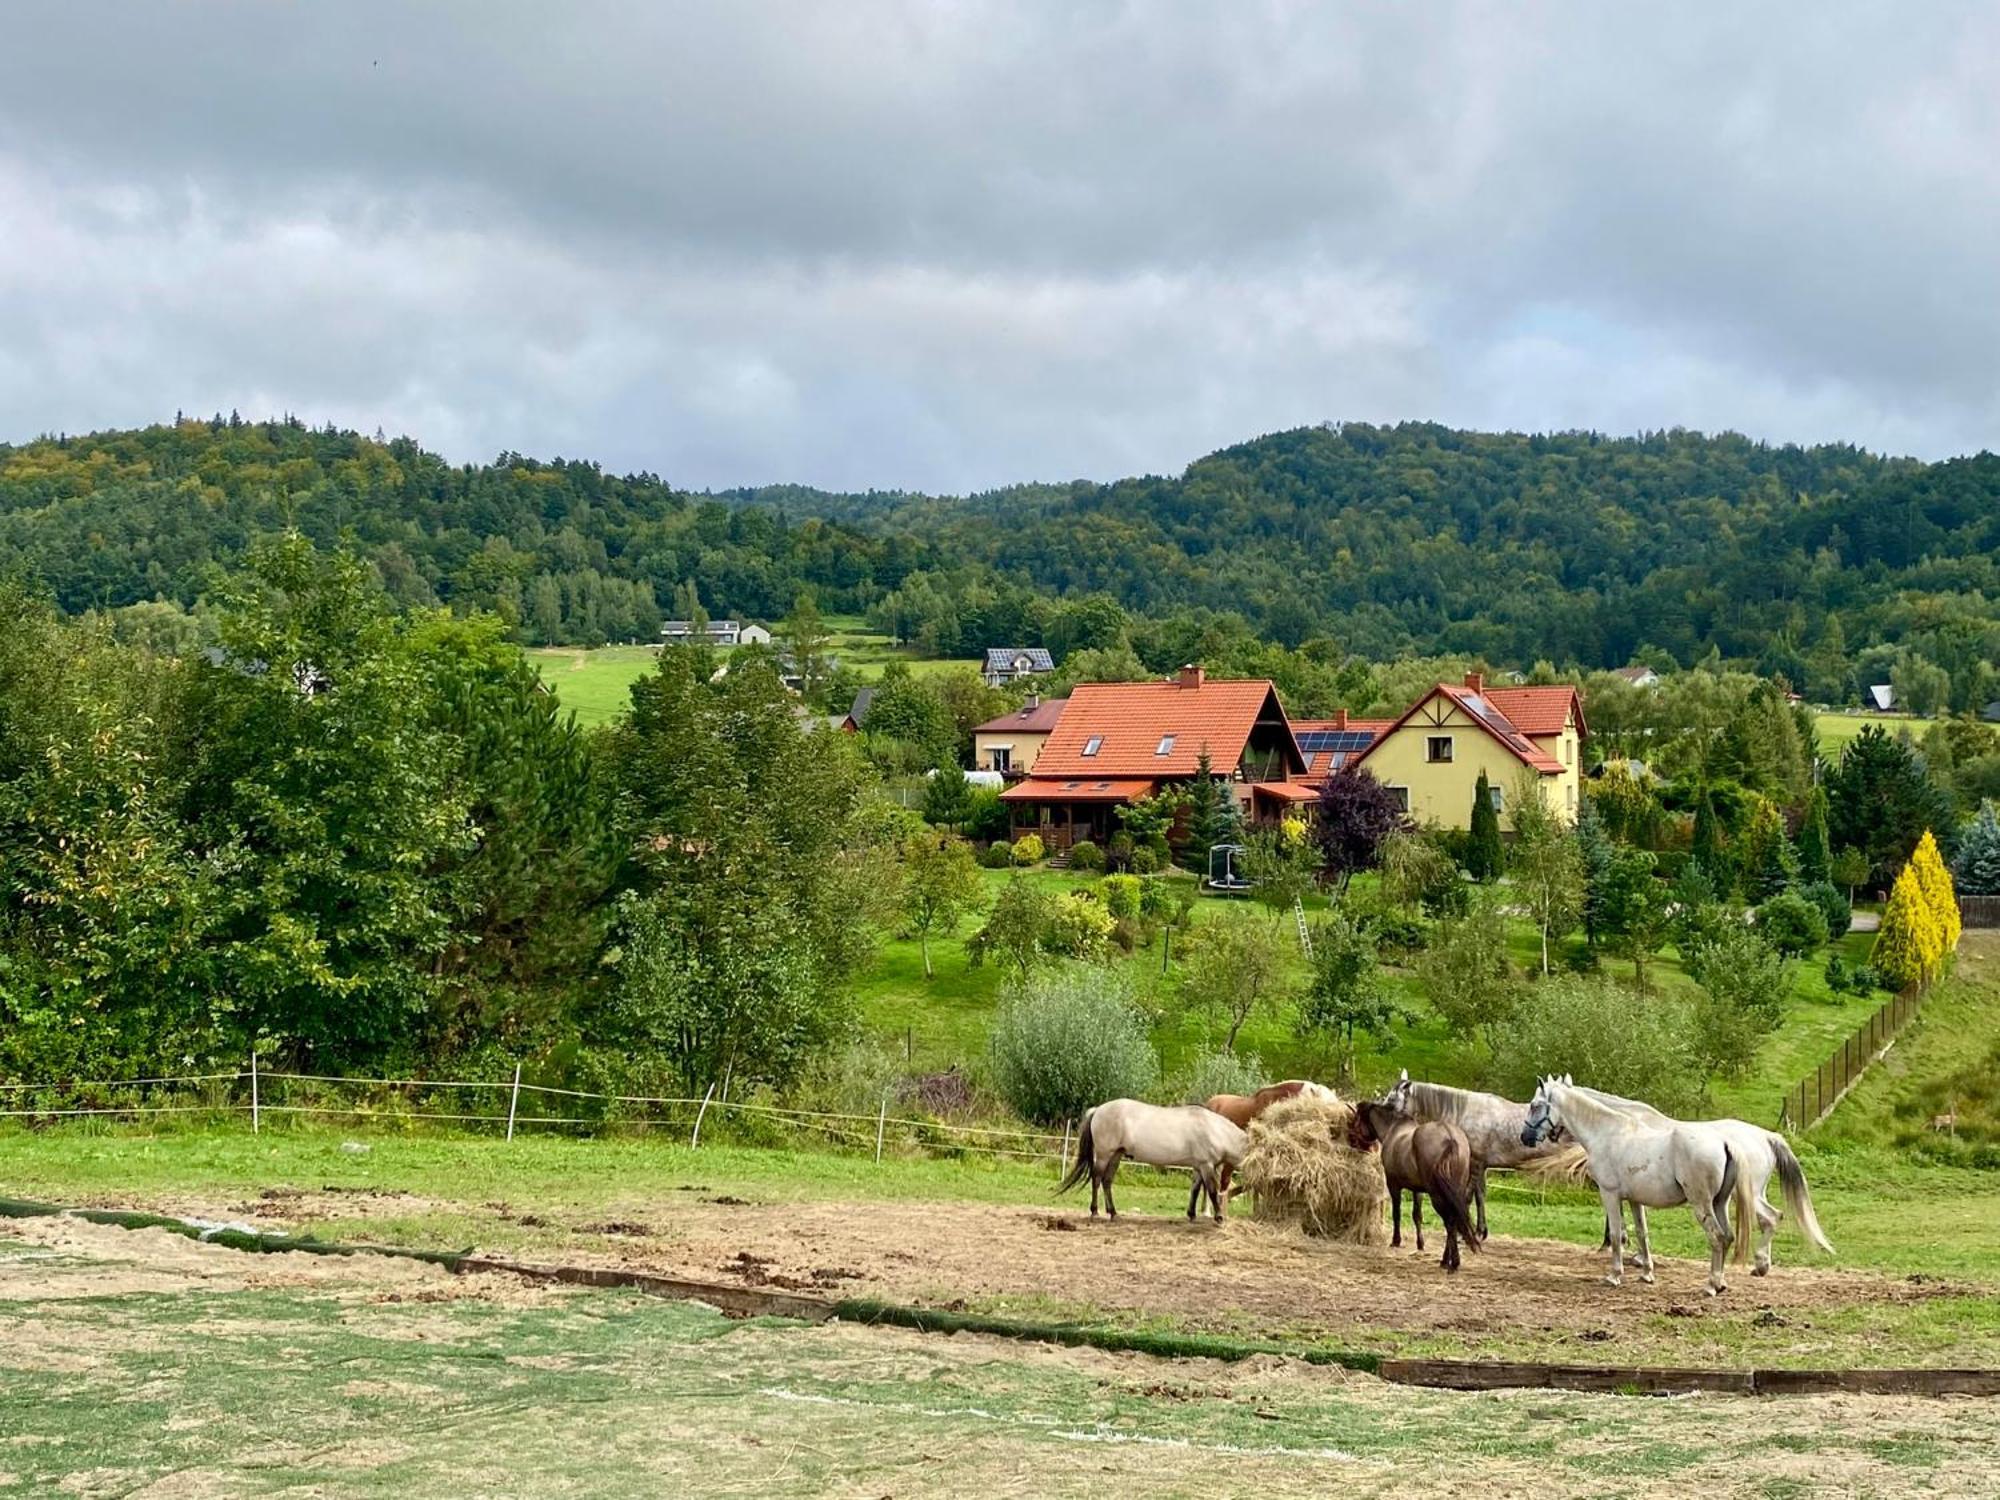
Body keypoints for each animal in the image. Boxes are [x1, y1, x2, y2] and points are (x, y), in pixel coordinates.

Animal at [1056, 1096, 1240, 1224]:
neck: (1215, 1130)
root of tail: (1098, 1110)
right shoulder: (1206, 1165)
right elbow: (1212, 1190)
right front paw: (1219, 1217)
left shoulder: (1199, 1166)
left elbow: (1195, 1189)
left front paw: (1192, 1215)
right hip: (1104, 1155)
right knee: (1097, 1179)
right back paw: (1095, 1211)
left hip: (1116, 1155)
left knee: (1107, 1181)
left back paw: (1114, 1213)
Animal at [1344, 1096, 1488, 1272]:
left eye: (1356, 1120)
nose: (1353, 1142)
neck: (1394, 1130)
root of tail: (1450, 1136)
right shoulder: (1417, 1189)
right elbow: (1417, 1215)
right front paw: (1420, 1244)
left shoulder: (1393, 1185)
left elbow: (1397, 1213)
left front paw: (1396, 1241)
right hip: (1455, 1191)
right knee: (1454, 1222)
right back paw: (1447, 1260)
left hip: (1437, 1196)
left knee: (1449, 1223)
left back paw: (1451, 1262)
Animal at [1376, 1072, 1576, 1240]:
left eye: (1392, 1100)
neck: (1465, 1113)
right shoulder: (1482, 1165)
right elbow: (1480, 1196)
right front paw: (1481, 1231)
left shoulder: (1474, 1164)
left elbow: (1466, 1197)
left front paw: (1463, 1232)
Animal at [1520, 1080, 1744, 1296]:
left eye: (1535, 1105)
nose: (1525, 1137)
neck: (1605, 1133)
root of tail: (1724, 1143)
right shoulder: (1635, 1200)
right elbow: (1641, 1232)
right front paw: (1647, 1274)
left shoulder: (1609, 1194)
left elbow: (1616, 1234)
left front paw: (1614, 1275)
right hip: (1719, 1203)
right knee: (1727, 1237)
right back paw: (1721, 1283)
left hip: (1701, 1204)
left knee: (1716, 1237)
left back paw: (1711, 1285)